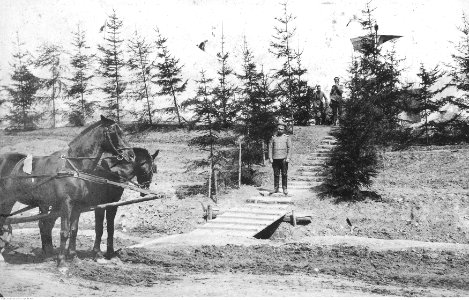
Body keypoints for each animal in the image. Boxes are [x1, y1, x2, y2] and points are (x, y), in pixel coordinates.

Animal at [0, 115, 135, 268]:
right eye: (114, 131)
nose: (131, 155)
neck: (74, 166)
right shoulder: (66, 203)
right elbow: (64, 232)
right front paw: (62, 262)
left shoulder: (78, 205)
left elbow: (74, 230)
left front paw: (74, 256)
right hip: (6, 201)